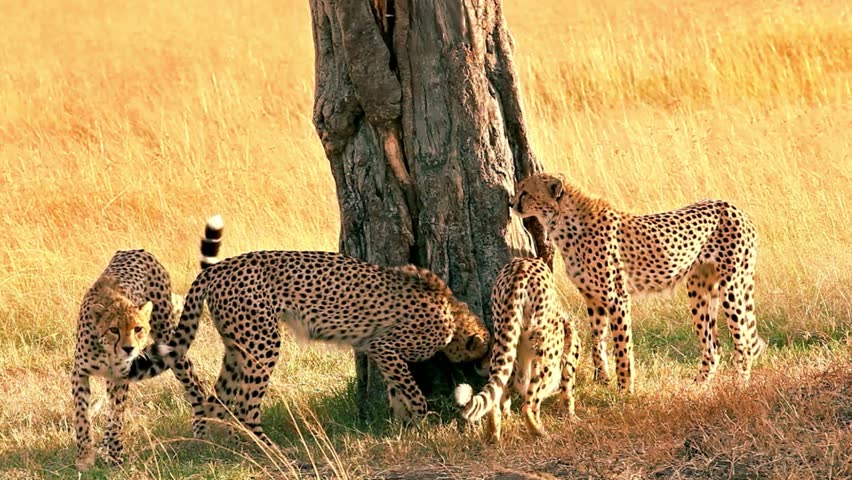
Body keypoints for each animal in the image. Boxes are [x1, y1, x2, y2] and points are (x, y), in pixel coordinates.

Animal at [72, 215, 223, 471]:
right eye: (114, 330)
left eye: (138, 329)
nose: (129, 348)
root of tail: (137, 249)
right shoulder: (79, 373)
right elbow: (82, 416)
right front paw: (85, 456)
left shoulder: (121, 377)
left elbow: (117, 415)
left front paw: (115, 455)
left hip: (170, 341)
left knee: (194, 382)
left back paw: (201, 432)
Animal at [127, 250, 491, 444]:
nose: (484, 369)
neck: (454, 312)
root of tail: (220, 266)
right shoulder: (383, 345)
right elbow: (412, 391)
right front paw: (421, 422)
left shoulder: (380, 351)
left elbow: (397, 390)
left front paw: (402, 425)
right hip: (263, 343)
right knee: (244, 404)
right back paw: (269, 449)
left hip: (236, 346)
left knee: (218, 398)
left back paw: (221, 443)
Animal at [455, 257, 581, 443]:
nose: (477, 364)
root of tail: (521, 266)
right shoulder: (569, 353)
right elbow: (568, 390)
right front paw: (571, 417)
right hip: (546, 355)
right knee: (528, 405)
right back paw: (540, 433)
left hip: (505, 338)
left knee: (495, 399)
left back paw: (492, 437)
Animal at [512, 173, 766, 393]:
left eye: (525, 192)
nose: (512, 204)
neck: (564, 222)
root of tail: (733, 208)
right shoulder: (593, 299)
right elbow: (597, 341)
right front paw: (602, 380)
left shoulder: (617, 298)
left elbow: (623, 347)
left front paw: (625, 389)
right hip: (699, 290)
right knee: (713, 346)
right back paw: (698, 385)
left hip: (732, 287)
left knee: (743, 342)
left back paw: (740, 386)